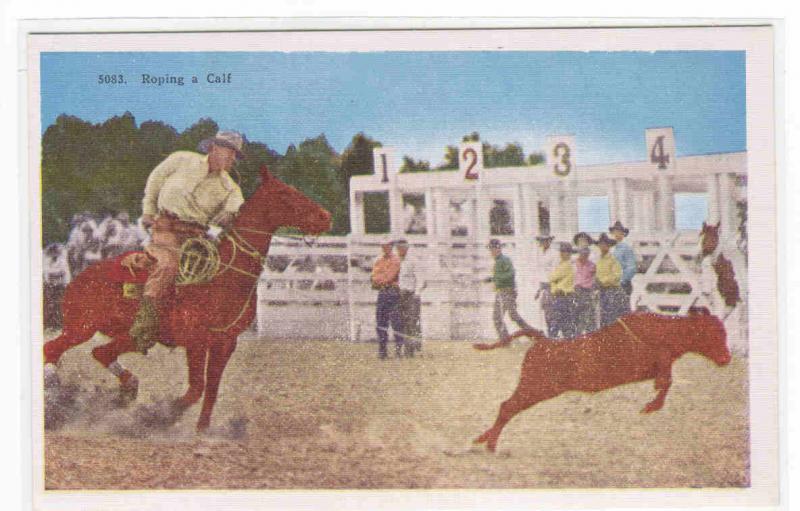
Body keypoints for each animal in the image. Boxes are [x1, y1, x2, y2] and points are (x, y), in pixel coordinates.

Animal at [43, 168, 332, 432]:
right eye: (285, 193)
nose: (325, 217)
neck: (222, 275)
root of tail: (78, 276)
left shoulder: (225, 343)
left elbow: (211, 389)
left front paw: (201, 429)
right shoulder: (196, 342)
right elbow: (196, 388)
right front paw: (160, 416)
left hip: (114, 334)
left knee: (97, 353)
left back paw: (121, 391)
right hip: (81, 328)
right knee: (56, 350)